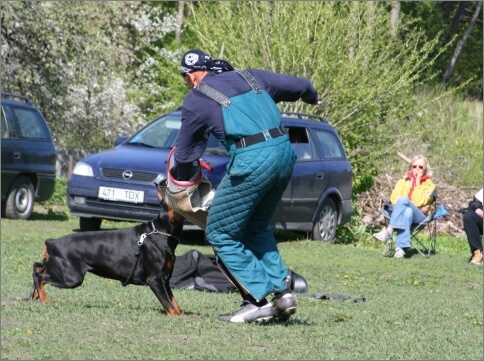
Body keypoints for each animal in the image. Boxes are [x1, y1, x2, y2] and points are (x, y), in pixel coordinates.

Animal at [30, 186, 185, 316]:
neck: (163, 231)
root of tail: (51, 242)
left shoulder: (165, 279)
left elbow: (174, 303)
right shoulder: (155, 279)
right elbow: (170, 306)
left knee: (38, 269)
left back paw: (36, 296)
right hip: (72, 277)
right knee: (40, 276)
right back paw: (44, 299)